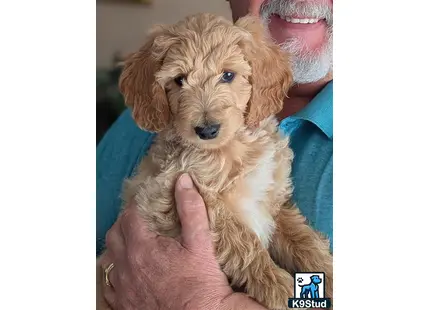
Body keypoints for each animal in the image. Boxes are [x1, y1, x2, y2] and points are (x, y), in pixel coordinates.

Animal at [96, 12, 332, 310]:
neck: (232, 149)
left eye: (228, 75)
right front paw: (278, 287)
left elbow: (301, 237)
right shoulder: (174, 196)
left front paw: (328, 271)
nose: (207, 130)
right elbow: (242, 241)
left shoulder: (274, 199)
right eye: (179, 80)